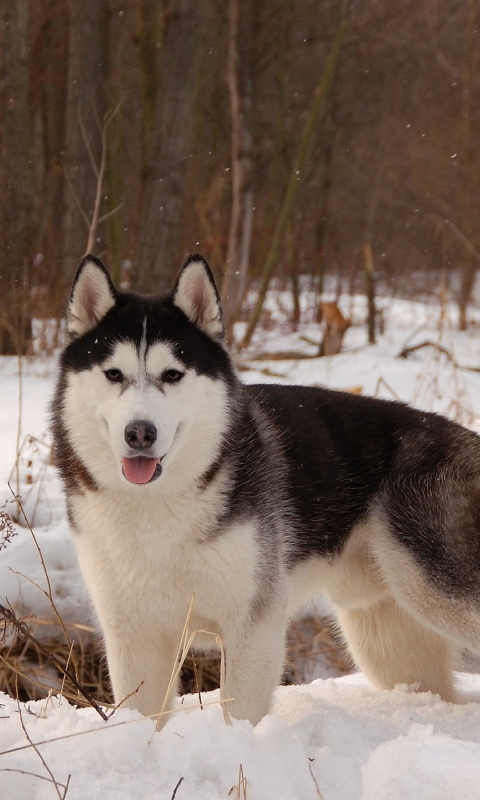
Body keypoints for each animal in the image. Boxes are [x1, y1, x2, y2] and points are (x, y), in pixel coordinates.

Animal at [53, 255, 480, 724]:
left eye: (173, 374)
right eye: (113, 374)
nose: (140, 433)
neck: (155, 507)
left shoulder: (254, 625)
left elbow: (239, 714)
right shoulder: (134, 635)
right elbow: (144, 717)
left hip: (435, 590)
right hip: (385, 635)